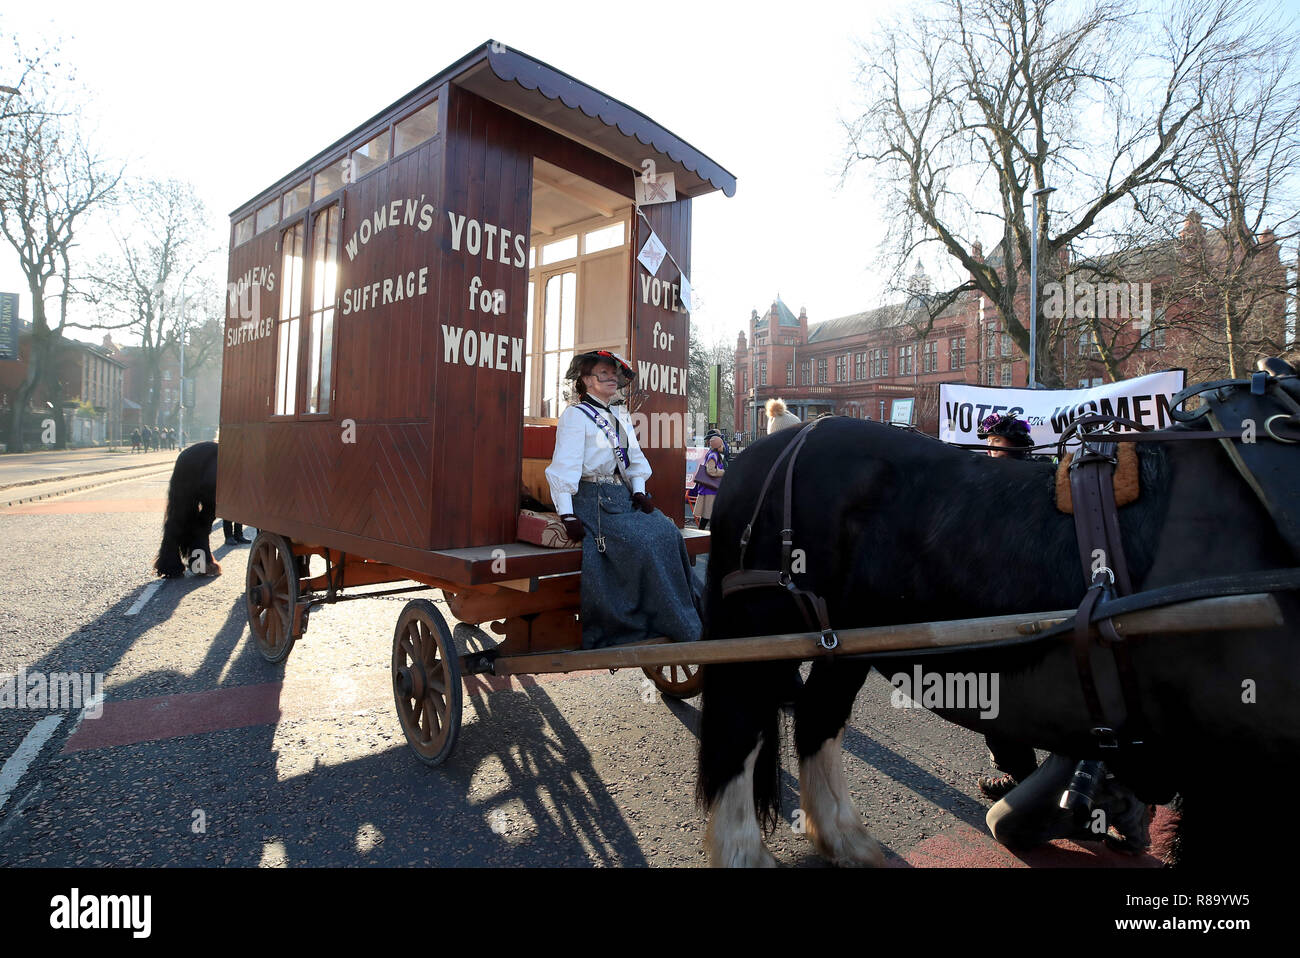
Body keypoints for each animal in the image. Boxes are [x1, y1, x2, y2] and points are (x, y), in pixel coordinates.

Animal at [154, 439, 220, 574]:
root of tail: (184, 453)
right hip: (185, 501)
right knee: (174, 526)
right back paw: (171, 567)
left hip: (210, 504)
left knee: (201, 526)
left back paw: (205, 563)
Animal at [702, 400, 1300, 863]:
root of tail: (772, 445)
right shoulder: (1234, 772)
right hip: (762, 630)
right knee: (739, 726)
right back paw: (745, 853)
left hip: (842, 641)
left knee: (815, 719)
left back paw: (845, 840)